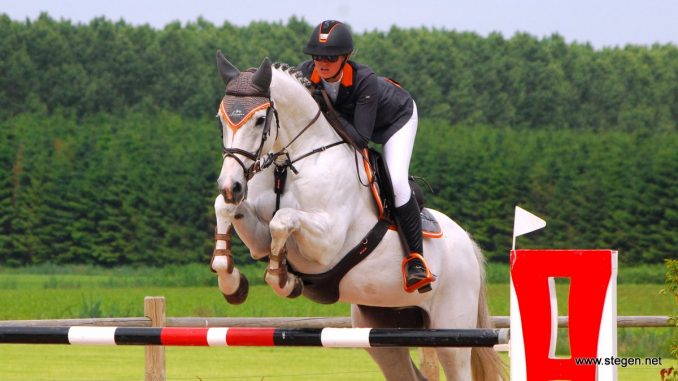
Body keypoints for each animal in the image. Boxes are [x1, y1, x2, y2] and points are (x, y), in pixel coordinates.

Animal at [211, 51, 504, 380]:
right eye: (221, 119)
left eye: (260, 120)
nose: (232, 185)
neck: (291, 163)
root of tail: (468, 244)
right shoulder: (259, 237)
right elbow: (227, 209)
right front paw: (232, 283)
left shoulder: (327, 244)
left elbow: (283, 219)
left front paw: (283, 279)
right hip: (380, 329)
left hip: (451, 330)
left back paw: (417, 271)